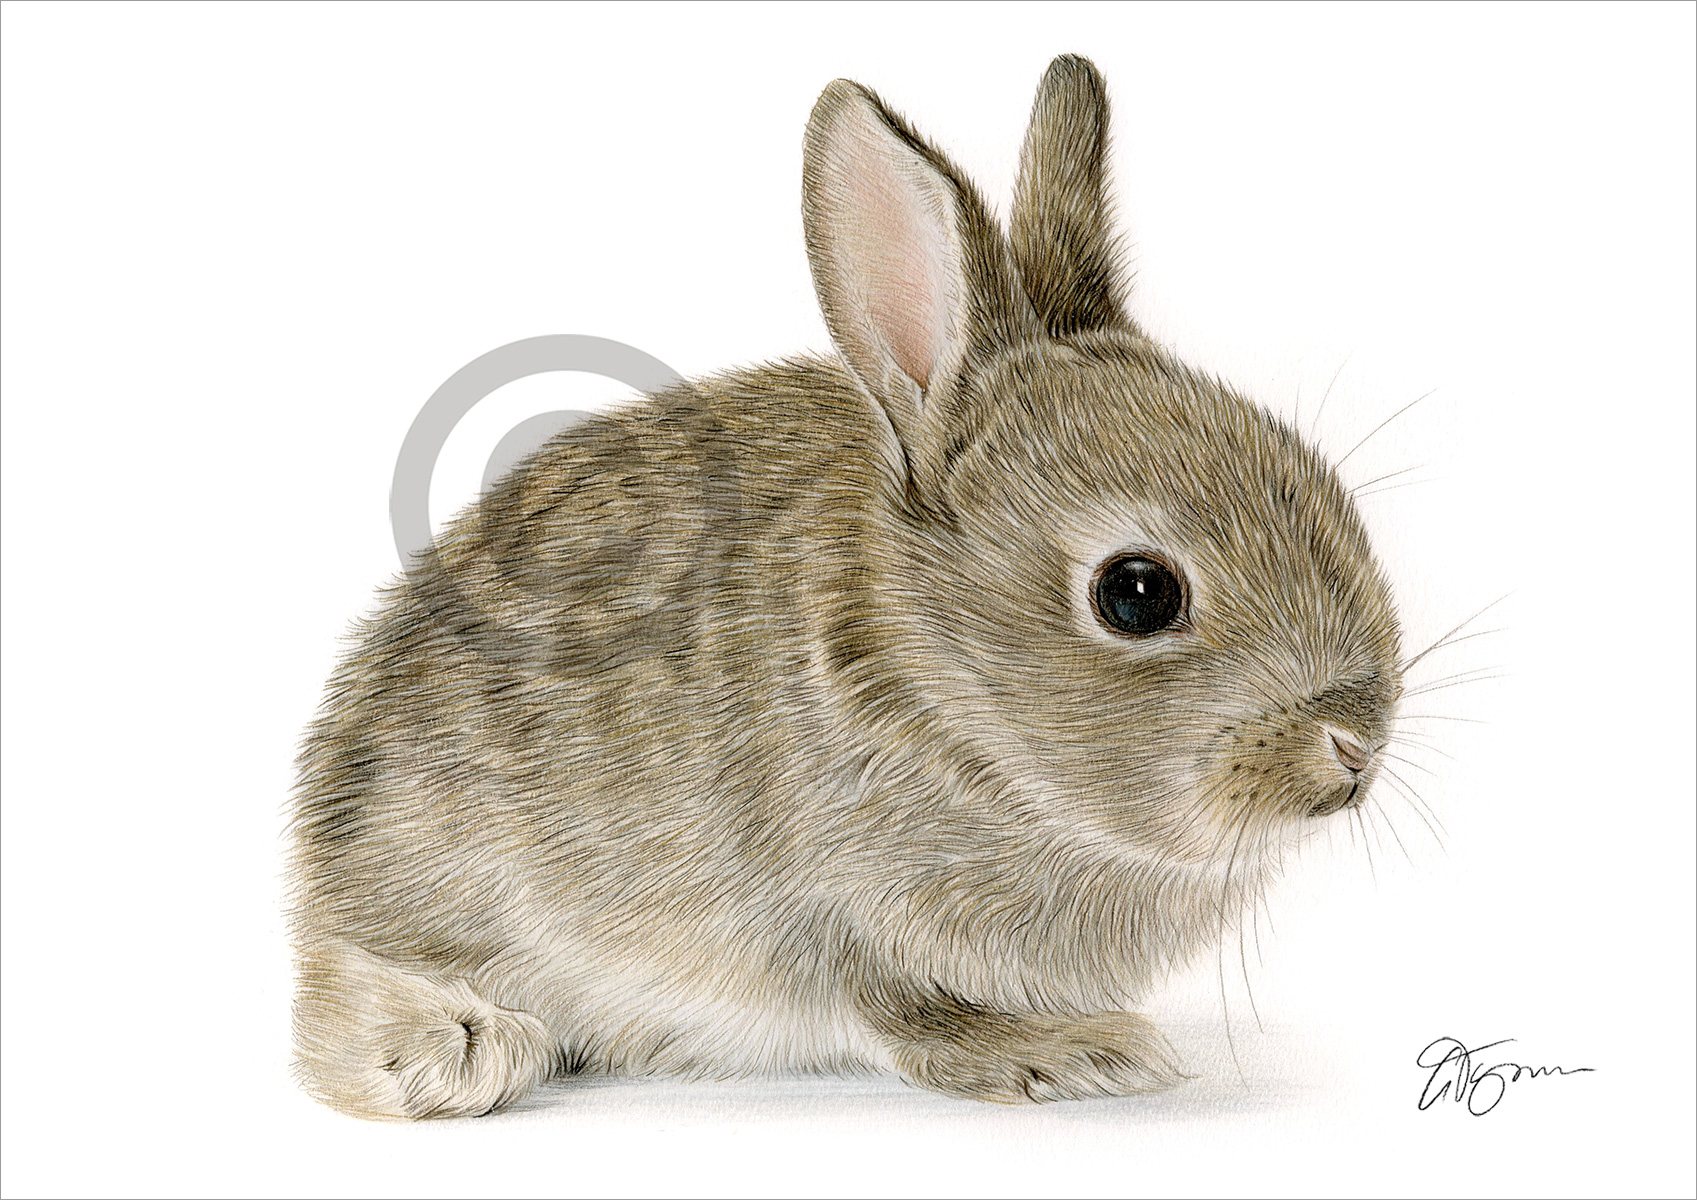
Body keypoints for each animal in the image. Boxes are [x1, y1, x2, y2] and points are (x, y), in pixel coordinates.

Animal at [289, 54, 1402, 1120]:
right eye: (1136, 594)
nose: (1354, 744)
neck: (940, 686)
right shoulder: (826, 913)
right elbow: (905, 1012)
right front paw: (1076, 1053)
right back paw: (454, 1052)